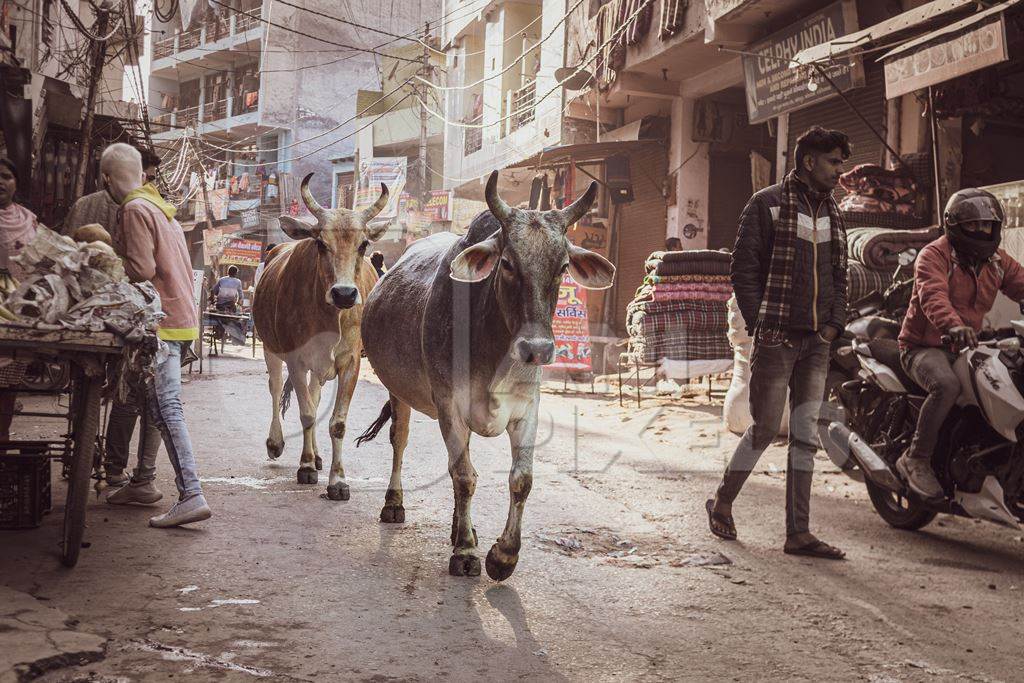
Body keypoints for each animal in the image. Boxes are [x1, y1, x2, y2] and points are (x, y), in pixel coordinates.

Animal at [251, 174, 387, 499]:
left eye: (363, 244)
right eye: (321, 243)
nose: (345, 294)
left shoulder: (350, 363)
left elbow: (336, 423)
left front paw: (337, 481)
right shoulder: (296, 360)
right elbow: (308, 415)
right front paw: (306, 467)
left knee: (314, 394)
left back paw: (318, 455)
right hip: (271, 349)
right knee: (276, 388)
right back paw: (277, 444)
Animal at [356, 171, 610, 581]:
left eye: (562, 267)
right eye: (506, 263)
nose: (537, 349)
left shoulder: (526, 409)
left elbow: (520, 479)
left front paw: (503, 555)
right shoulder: (449, 405)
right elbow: (463, 475)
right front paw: (465, 552)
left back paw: (463, 527)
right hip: (399, 391)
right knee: (401, 441)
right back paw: (396, 504)